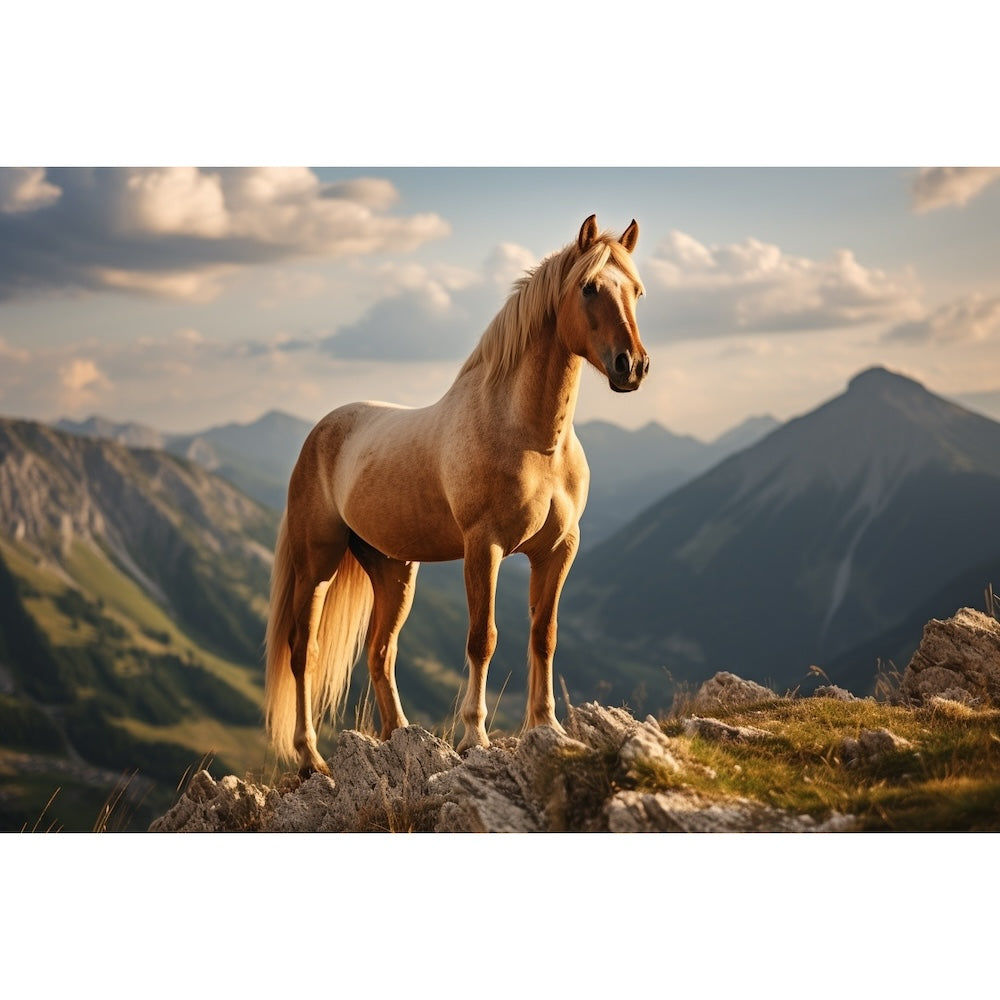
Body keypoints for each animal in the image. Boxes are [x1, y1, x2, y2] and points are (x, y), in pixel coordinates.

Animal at [264, 215, 649, 776]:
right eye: (590, 287)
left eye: (637, 291)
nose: (632, 366)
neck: (531, 439)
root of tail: (322, 430)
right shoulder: (483, 547)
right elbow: (482, 638)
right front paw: (474, 738)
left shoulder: (558, 550)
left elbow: (544, 634)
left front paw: (547, 727)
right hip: (318, 563)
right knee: (302, 652)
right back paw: (312, 757)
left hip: (393, 570)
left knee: (381, 652)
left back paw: (397, 736)